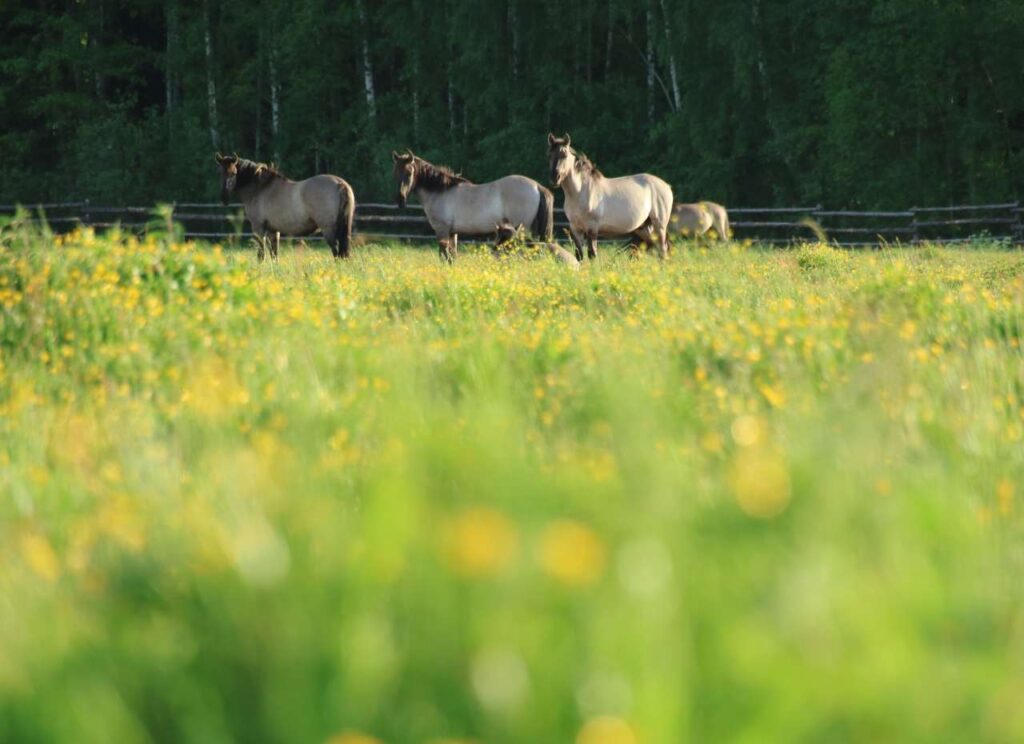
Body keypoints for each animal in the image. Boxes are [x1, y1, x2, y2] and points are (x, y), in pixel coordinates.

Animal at [212, 151, 356, 261]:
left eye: (234, 173)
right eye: (220, 172)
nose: (224, 198)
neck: (261, 188)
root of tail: (340, 183)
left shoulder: (258, 228)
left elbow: (261, 255)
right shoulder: (273, 231)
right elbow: (274, 255)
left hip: (328, 229)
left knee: (337, 253)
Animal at [389, 149, 552, 264]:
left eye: (409, 172)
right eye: (395, 173)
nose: (400, 200)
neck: (440, 191)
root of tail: (537, 186)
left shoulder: (442, 231)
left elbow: (443, 256)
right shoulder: (452, 233)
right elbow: (452, 257)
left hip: (523, 230)